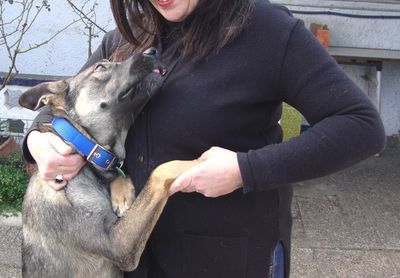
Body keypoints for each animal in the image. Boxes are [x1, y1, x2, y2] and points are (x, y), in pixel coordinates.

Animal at [18, 48, 198, 276]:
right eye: (100, 67)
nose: (153, 51)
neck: (85, 149)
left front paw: (122, 195)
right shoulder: (117, 244)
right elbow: (161, 170)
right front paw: (205, 159)